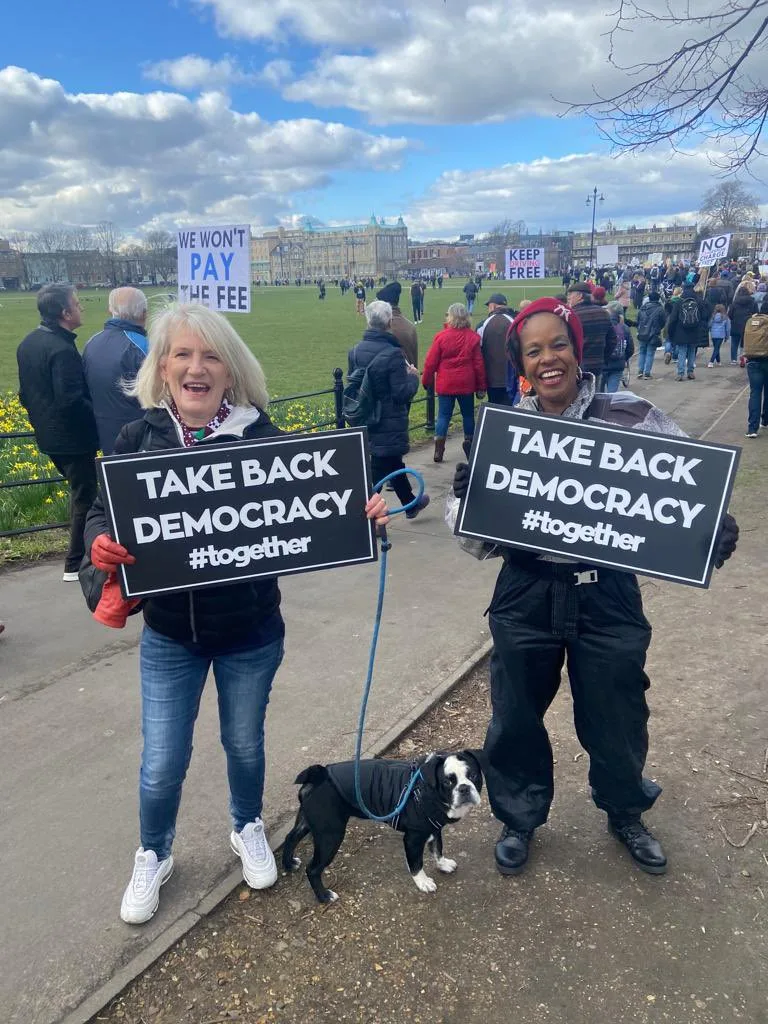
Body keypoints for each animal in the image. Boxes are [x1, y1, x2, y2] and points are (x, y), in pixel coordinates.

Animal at [282, 749, 487, 901]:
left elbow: (437, 848)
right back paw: (324, 896)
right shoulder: (413, 838)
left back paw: (289, 864)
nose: (464, 788)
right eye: (447, 782)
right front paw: (422, 882)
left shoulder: (432, 828)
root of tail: (319, 776)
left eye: (474, 775)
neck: (425, 789)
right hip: (330, 836)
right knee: (313, 869)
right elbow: (416, 863)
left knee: (290, 837)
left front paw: (443, 864)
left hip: (309, 822)